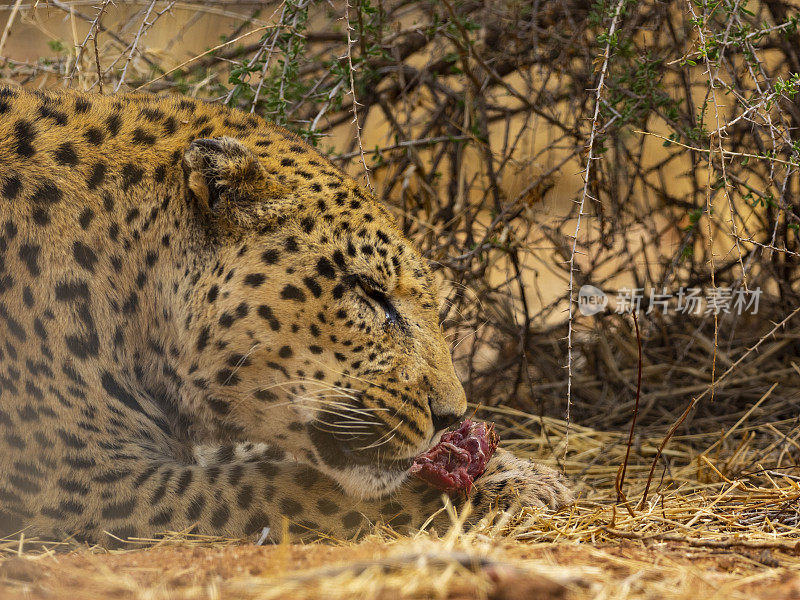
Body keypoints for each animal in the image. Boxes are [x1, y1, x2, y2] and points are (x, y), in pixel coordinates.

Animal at [0, 84, 576, 548]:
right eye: (370, 294)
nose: (452, 417)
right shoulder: (90, 486)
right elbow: (289, 487)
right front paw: (488, 494)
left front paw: (518, 471)